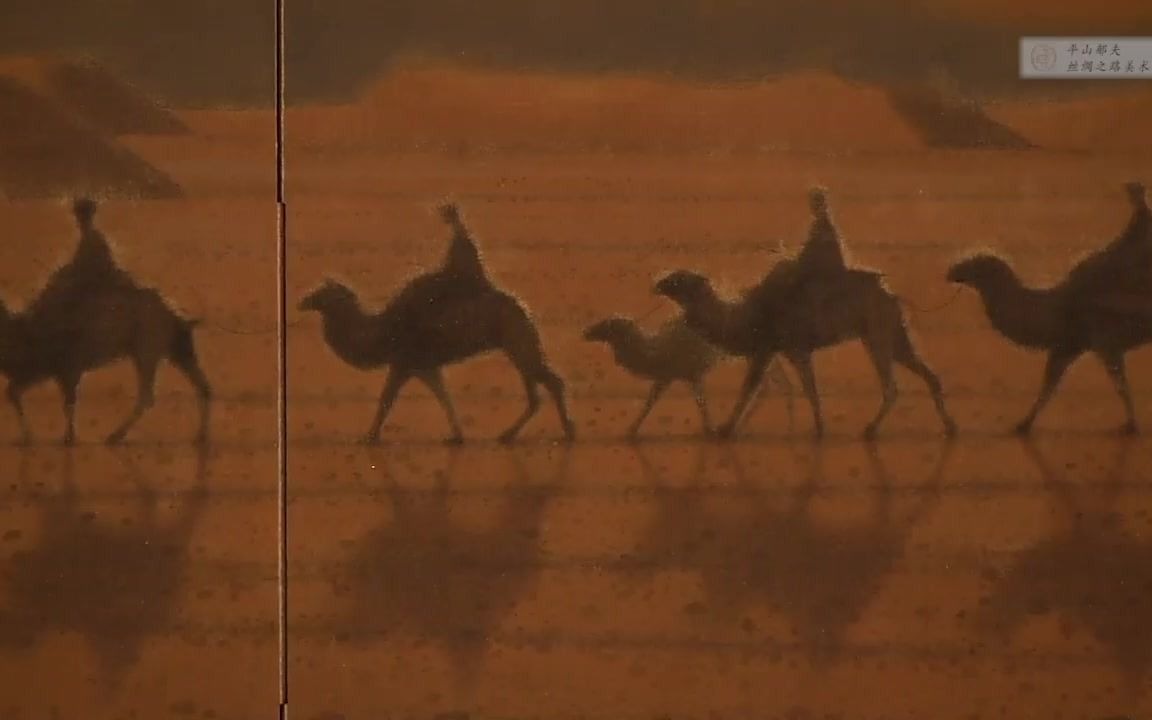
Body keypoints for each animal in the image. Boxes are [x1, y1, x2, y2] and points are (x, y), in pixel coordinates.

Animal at [0, 284, 211, 444]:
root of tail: (180, 318)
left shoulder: (66, 367)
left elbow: (67, 403)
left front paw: (67, 438)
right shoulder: (49, 370)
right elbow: (14, 392)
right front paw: (31, 437)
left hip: (147, 349)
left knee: (147, 395)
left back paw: (115, 436)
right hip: (177, 349)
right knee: (203, 385)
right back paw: (201, 437)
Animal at [294, 277, 569, 440]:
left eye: (323, 293)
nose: (302, 301)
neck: (379, 333)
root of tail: (524, 308)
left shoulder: (404, 362)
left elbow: (386, 400)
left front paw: (370, 436)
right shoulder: (424, 366)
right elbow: (443, 396)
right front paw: (457, 435)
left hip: (517, 339)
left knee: (549, 381)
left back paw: (566, 430)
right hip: (517, 342)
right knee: (536, 388)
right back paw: (510, 434)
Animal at [585, 313, 792, 437]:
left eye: (607, 325)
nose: (586, 332)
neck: (656, 354)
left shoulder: (693, 373)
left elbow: (701, 402)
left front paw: (709, 429)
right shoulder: (667, 376)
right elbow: (650, 401)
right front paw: (631, 430)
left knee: (765, 382)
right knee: (771, 382)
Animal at [654, 267, 958, 437]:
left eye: (678, 280)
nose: (657, 284)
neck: (744, 317)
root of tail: (892, 294)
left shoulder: (771, 347)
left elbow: (751, 387)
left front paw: (726, 429)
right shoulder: (792, 349)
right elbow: (808, 389)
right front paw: (819, 427)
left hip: (878, 333)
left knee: (892, 385)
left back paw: (871, 429)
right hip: (892, 331)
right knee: (927, 372)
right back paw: (949, 427)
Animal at [944, 252, 1152, 433]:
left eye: (975, 263)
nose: (951, 272)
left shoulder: (1104, 339)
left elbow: (1121, 384)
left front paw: (1131, 426)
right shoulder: (1068, 345)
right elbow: (1048, 387)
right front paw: (1023, 425)